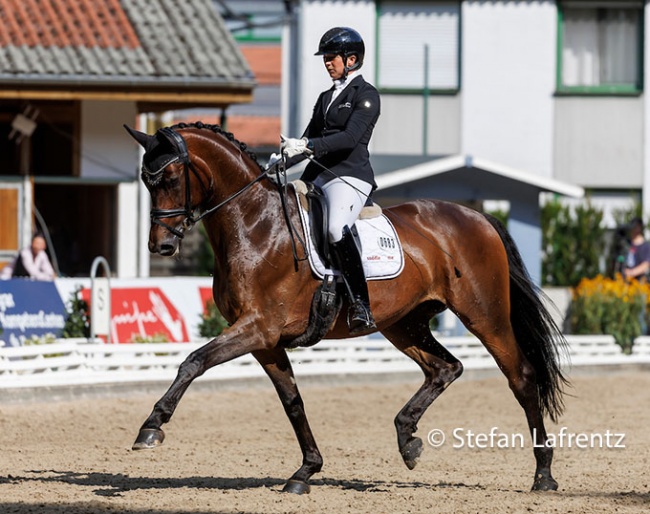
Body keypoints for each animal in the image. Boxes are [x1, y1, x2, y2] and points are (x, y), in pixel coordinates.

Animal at [123, 122, 568, 494]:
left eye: (170, 178)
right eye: (146, 181)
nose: (161, 246)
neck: (254, 224)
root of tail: (477, 215)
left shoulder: (258, 327)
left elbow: (194, 361)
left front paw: (151, 427)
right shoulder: (264, 340)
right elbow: (293, 401)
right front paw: (305, 472)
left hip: (484, 314)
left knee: (521, 377)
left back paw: (543, 476)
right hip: (403, 324)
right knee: (444, 368)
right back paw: (407, 439)